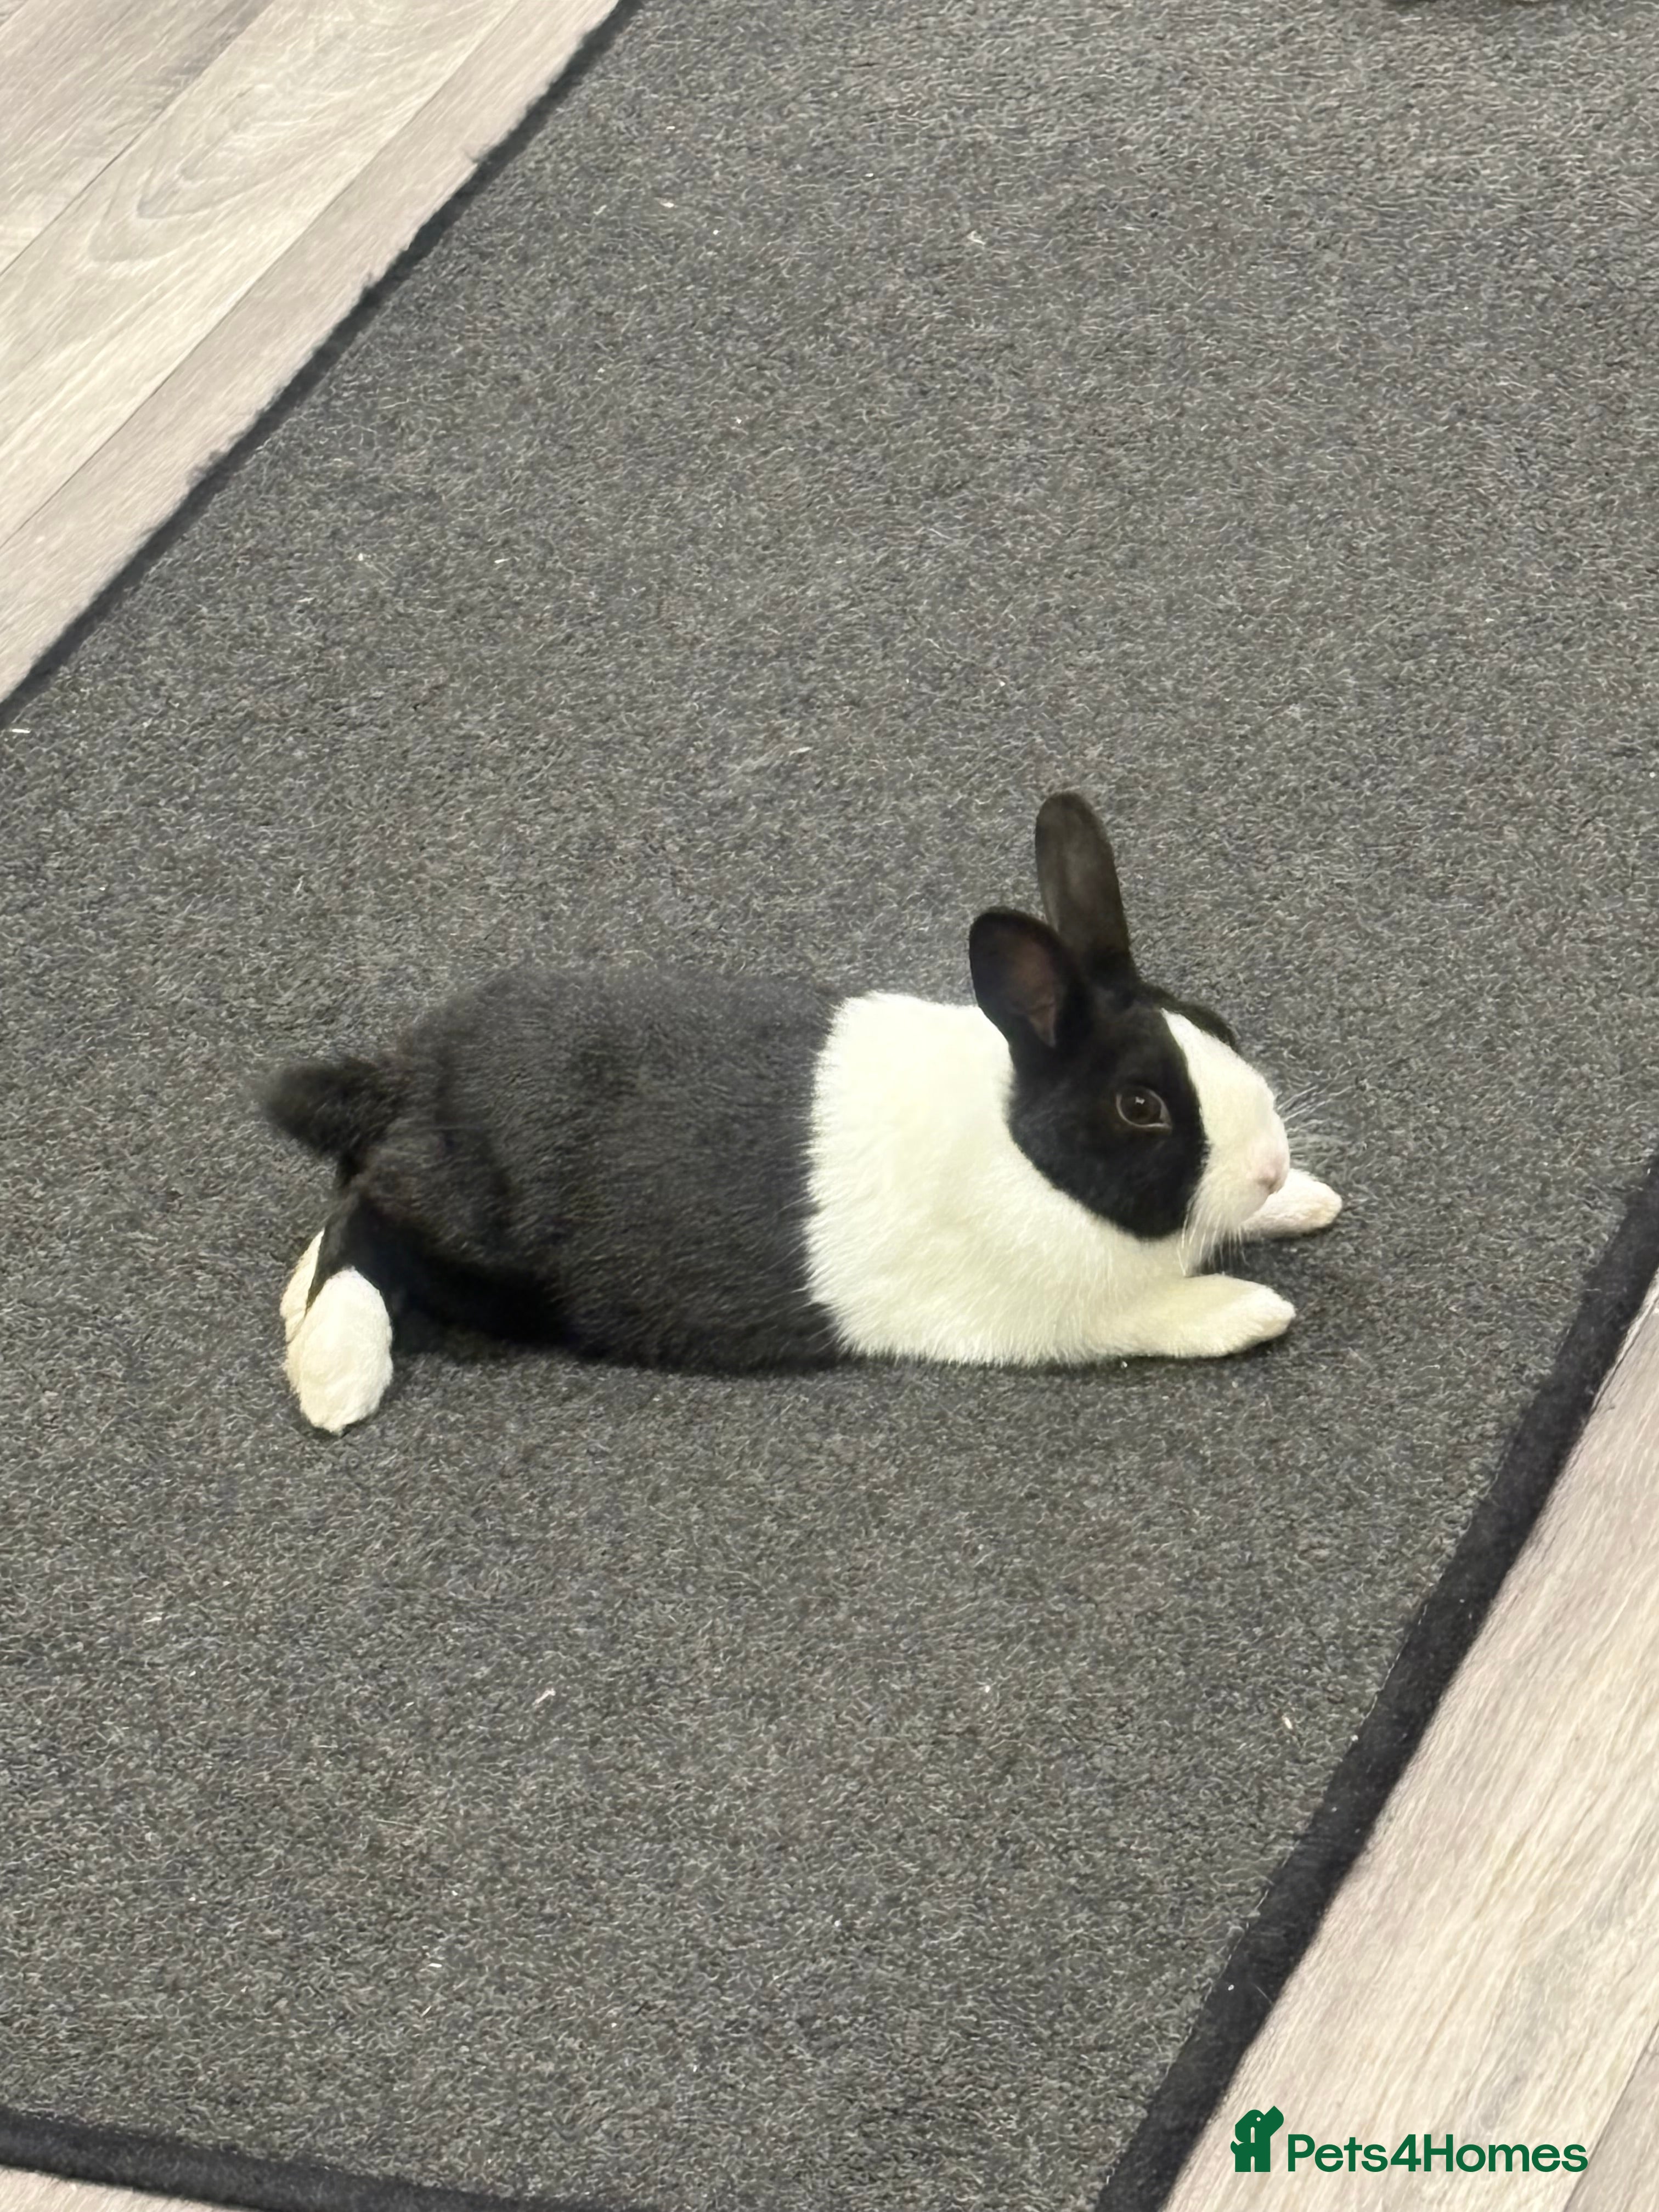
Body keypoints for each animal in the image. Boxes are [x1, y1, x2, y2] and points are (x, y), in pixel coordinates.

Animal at [263, 792, 1341, 1433]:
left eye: (1215, 1025)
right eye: (1140, 1104)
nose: (1266, 1164)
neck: (1025, 1149)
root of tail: (411, 1077)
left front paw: (1307, 1200)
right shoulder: (1065, 1314)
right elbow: (1162, 1311)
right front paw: (1250, 1309)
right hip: (474, 1229)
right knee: (367, 1226)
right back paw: (334, 1374)